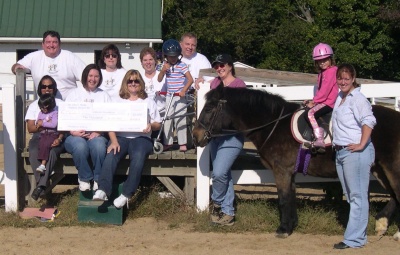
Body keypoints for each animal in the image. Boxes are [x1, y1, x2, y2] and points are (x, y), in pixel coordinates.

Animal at [192, 83, 400, 239]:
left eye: (209, 108)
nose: (196, 136)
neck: (274, 125)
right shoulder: (289, 172)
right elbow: (290, 198)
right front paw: (291, 225)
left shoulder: (282, 171)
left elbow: (284, 199)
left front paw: (283, 229)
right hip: (379, 169)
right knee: (394, 196)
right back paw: (382, 224)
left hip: (391, 168)